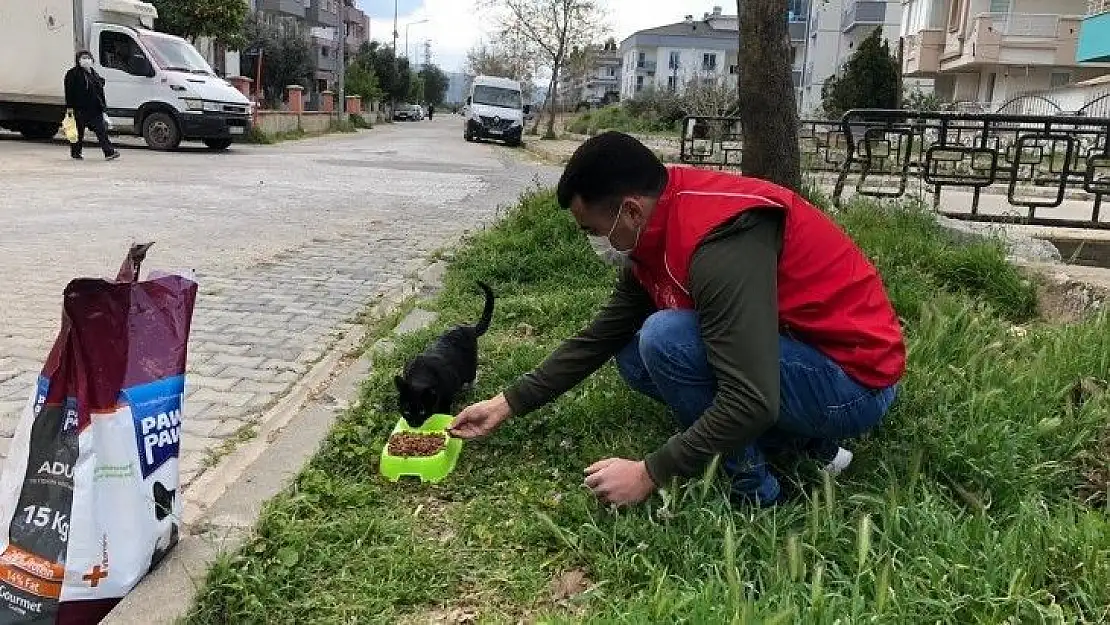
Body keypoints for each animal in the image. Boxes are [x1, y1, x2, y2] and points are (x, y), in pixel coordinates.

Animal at [392, 280, 492, 428]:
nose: (414, 424)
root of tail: (469, 328)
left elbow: (444, 412)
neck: (421, 375)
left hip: (469, 369)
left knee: (472, 377)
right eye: (407, 411)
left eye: (422, 411)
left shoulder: (446, 399)